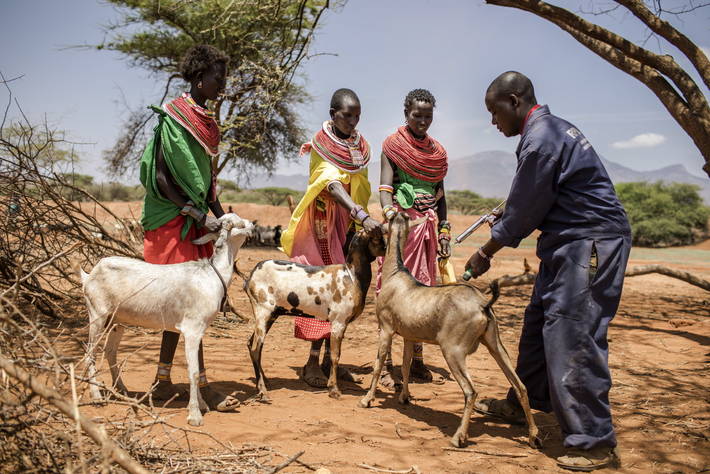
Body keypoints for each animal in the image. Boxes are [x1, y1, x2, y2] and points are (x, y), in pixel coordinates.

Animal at [81, 215, 253, 426]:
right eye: (239, 224)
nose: (253, 226)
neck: (210, 275)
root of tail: (90, 274)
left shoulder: (198, 329)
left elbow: (196, 368)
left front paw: (202, 405)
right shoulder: (192, 329)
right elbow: (193, 372)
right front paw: (194, 415)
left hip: (117, 320)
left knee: (110, 351)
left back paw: (121, 390)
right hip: (97, 314)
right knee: (90, 352)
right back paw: (97, 396)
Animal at [246, 230, 390, 400]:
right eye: (376, 237)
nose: (387, 250)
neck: (351, 275)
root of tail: (251, 276)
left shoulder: (339, 324)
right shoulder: (338, 322)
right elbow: (335, 355)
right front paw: (333, 389)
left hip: (271, 314)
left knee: (251, 344)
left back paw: (264, 382)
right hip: (263, 311)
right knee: (256, 348)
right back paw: (262, 390)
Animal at [362, 213, 540, 450]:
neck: (395, 273)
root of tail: (483, 304)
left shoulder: (386, 328)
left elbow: (378, 363)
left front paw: (367, 399)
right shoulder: (409, 335)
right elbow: (407, 365)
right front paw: (404, 397)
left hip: (453, 350)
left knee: (471, 390)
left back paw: (459, 437)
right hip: (494, 343)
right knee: (521, 386)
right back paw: (534, 437)